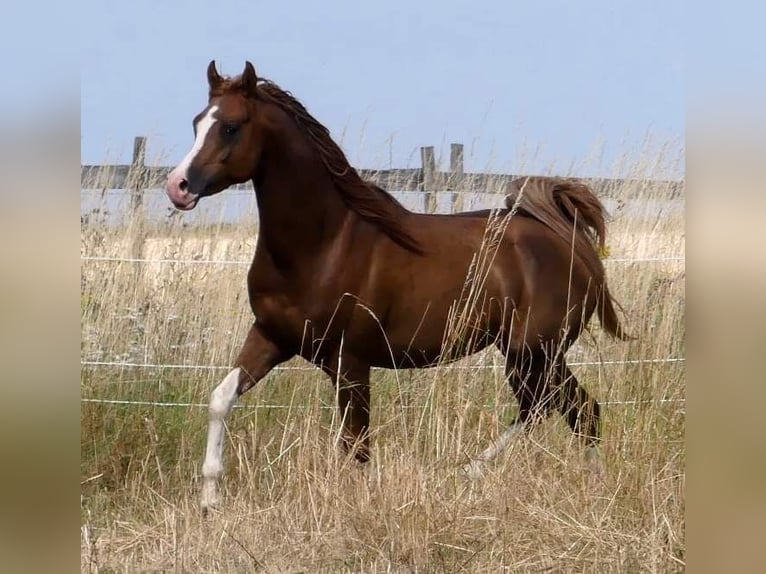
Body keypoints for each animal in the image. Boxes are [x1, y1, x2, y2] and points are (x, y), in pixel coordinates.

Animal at [165, 60, 628, 516]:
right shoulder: (271, 338)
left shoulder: (349, 362)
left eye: (231, 127)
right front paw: (209, 499)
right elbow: (220, 398)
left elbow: (356, 446)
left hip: (535, 351)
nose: (178, 187)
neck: (322, 244)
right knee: (556, 409)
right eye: (197, 122)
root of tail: (570, 241)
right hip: (528, 355)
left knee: (572, 410)